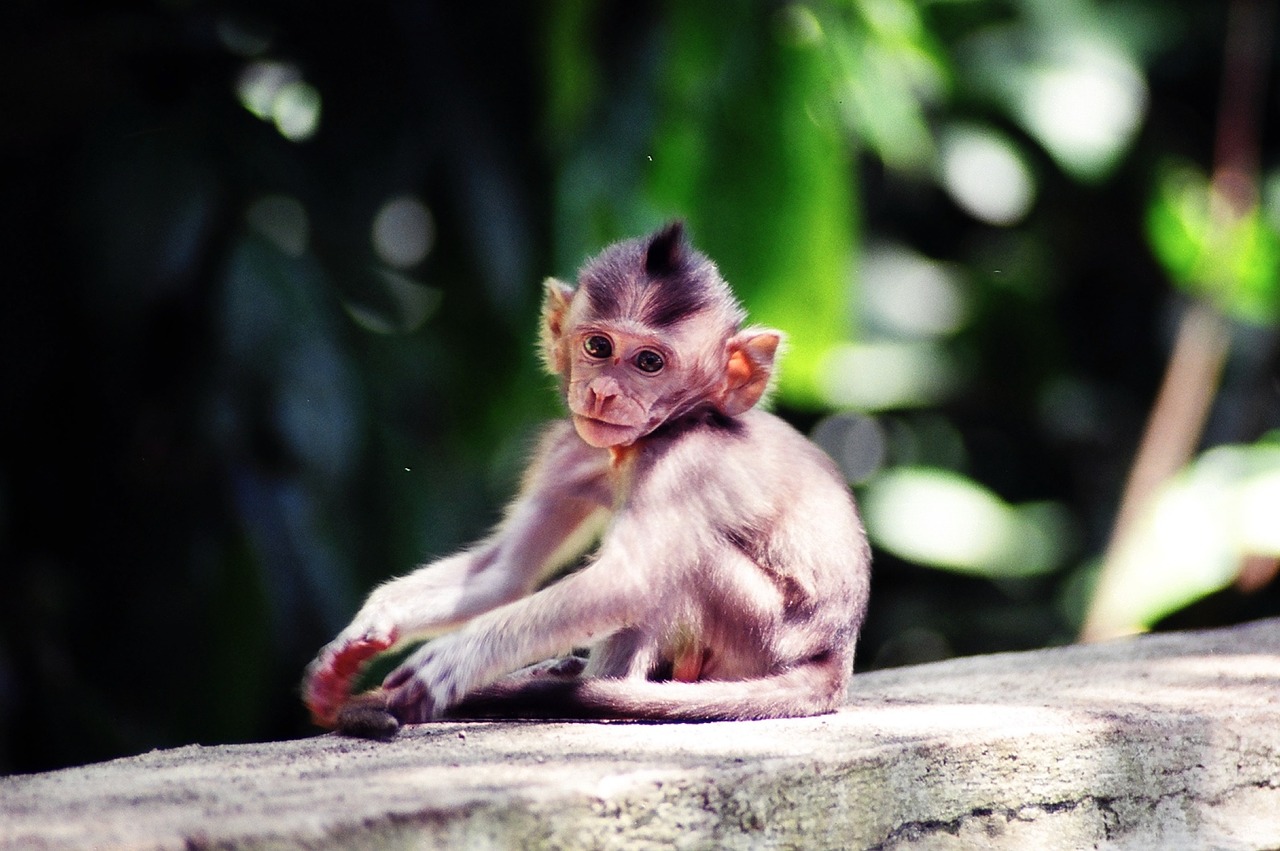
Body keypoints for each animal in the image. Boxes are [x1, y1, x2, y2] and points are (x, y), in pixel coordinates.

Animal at [304, 220, 875, 737]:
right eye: (598, 347)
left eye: (649, 362)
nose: (602, 392)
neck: (642, 443)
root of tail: (834, 662)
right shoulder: (569, 453)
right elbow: (505, 572)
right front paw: (366, 631)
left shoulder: (684, 462)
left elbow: (630, 580)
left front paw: (455, 659)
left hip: (759, 638)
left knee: (675, 568)